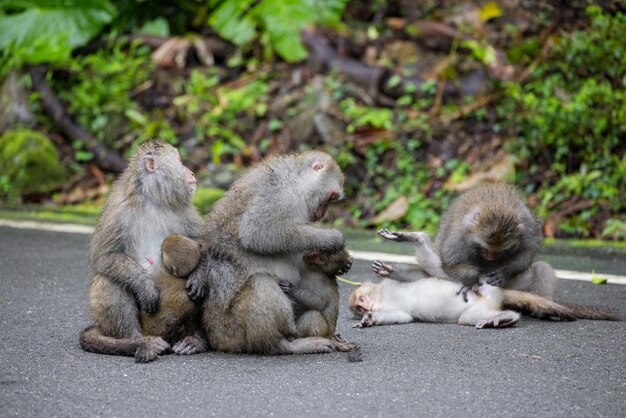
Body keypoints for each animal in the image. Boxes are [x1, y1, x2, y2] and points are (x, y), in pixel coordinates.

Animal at [77, 141, 205, 362]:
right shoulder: (118, 209)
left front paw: (198, 276)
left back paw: (196, 340)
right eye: (178, 160)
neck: (152, 198)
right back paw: (138, 341)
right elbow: (104, 255)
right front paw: (144, 286)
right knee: (108, 280)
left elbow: (205, 242)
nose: (191, 172)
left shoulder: (185, 208)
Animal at [183, 152, 354, 354]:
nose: (321, 215)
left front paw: (344, 261)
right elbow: (257, 232)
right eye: (330, 197)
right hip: (234, 331)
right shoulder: (282, 196)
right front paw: (331, 238)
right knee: (260, 282)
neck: (296, 180)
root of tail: (218, 341)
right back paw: (288, 345)